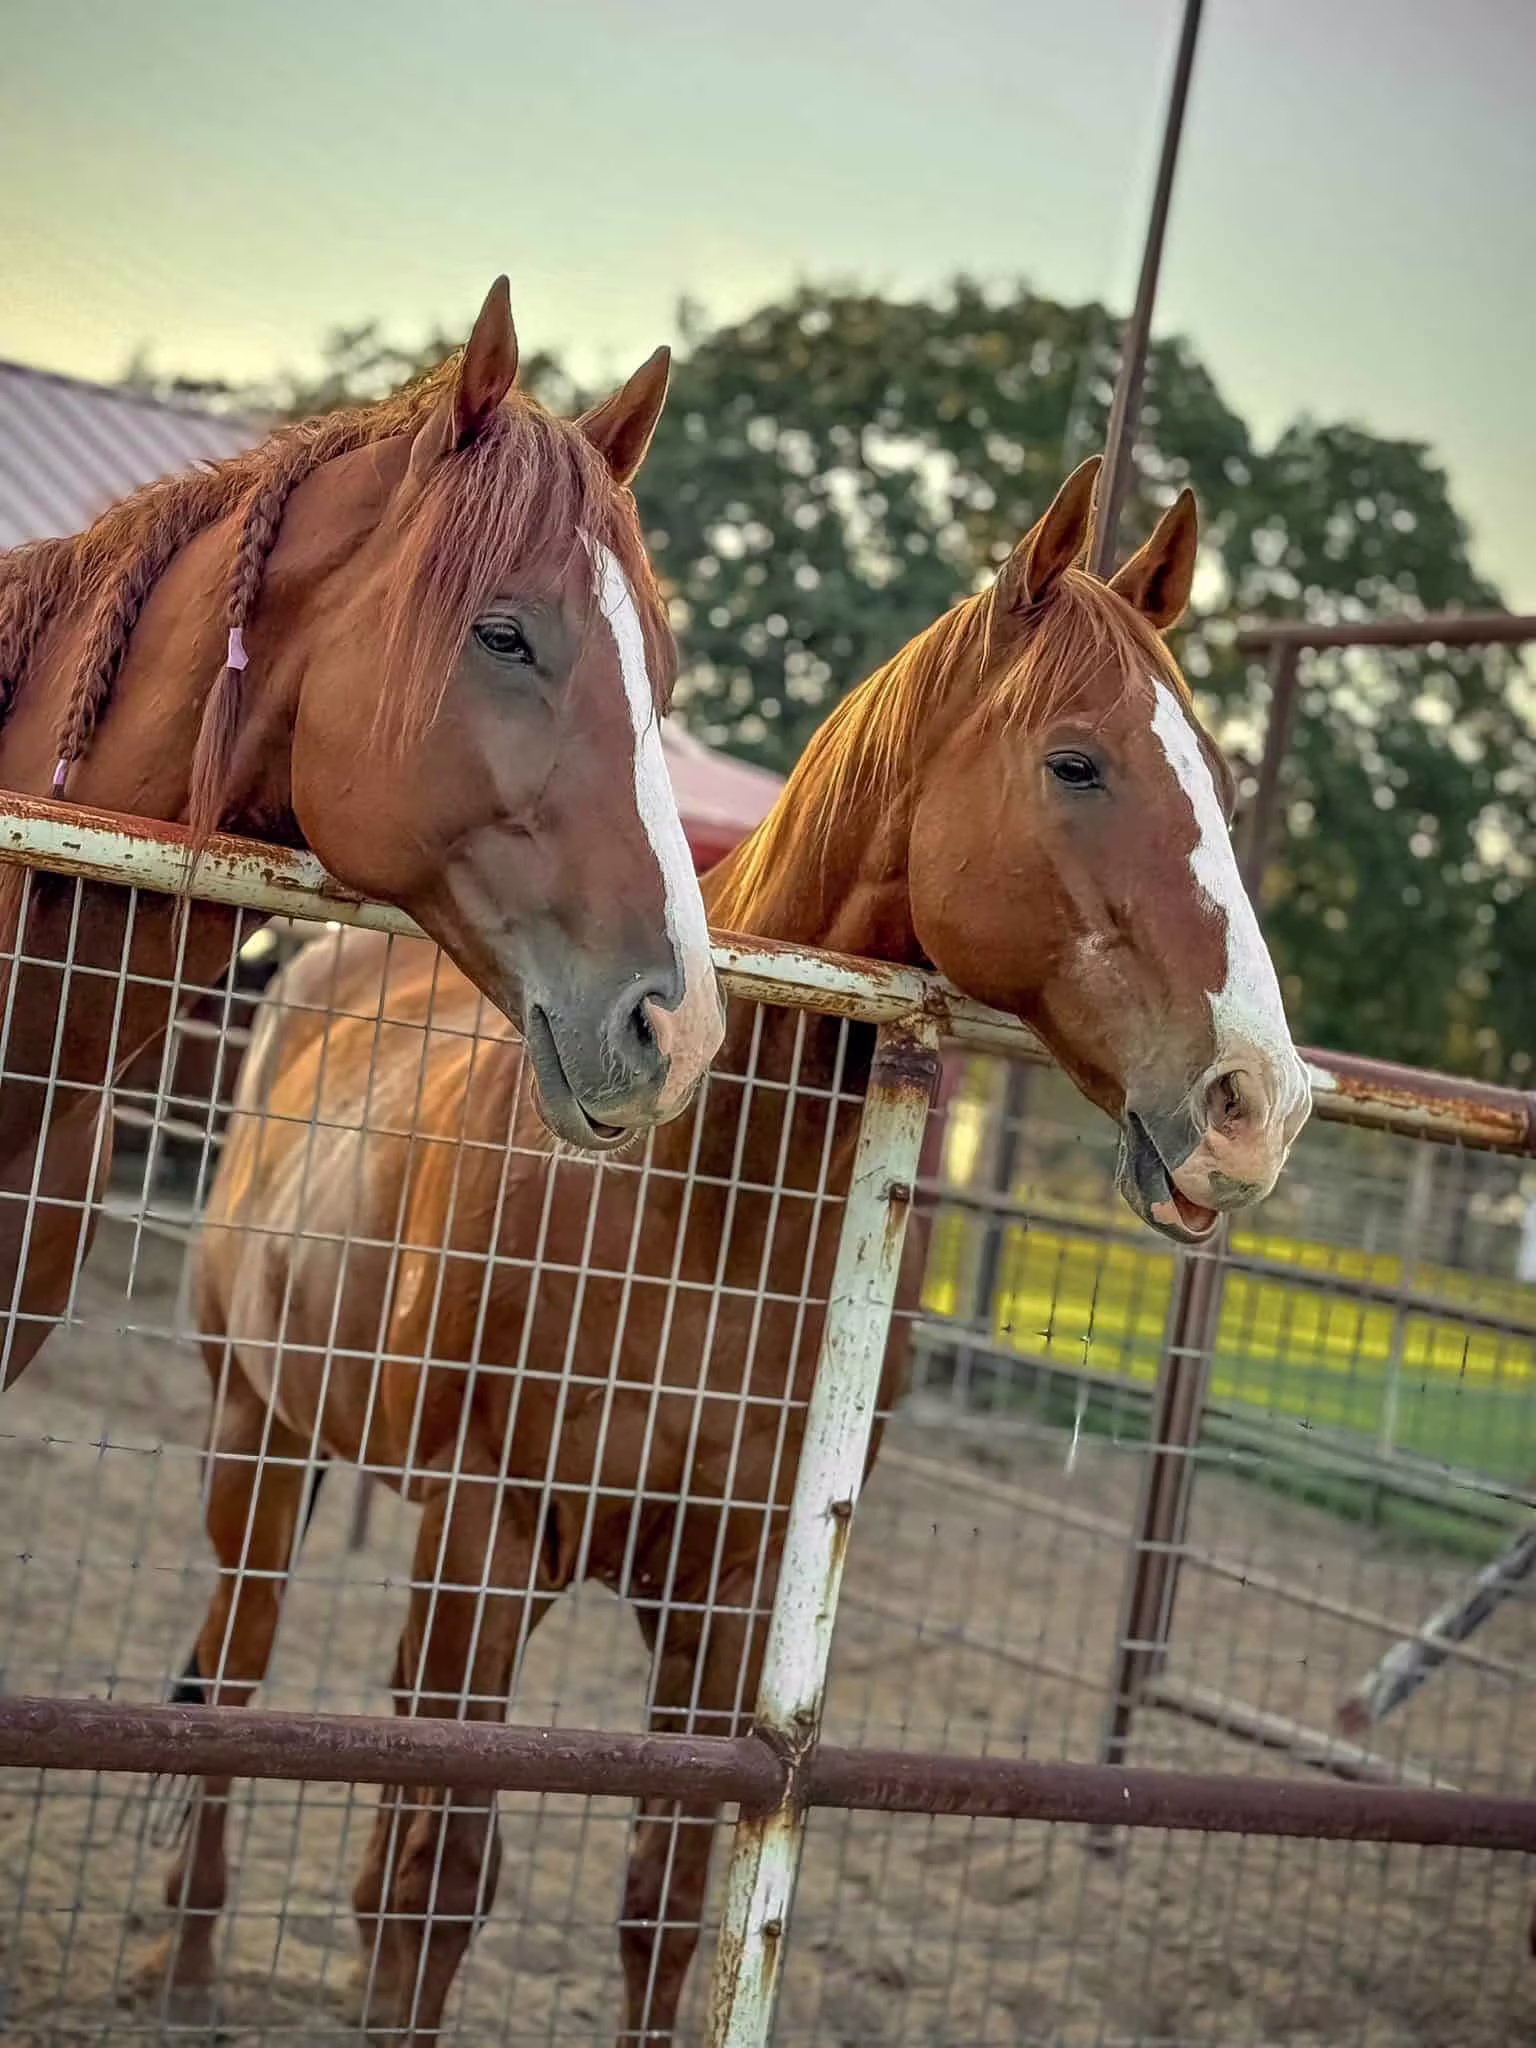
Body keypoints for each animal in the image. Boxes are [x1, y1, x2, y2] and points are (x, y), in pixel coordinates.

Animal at [153, 458, 1313, 2040]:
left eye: (1218, 781)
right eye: (1078, 764)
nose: (1261, 1102)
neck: (696, 1213)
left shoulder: (729, 1588)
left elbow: (663, 1897)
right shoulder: (486, 1541)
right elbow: (439, 1878)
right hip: (257, 1438)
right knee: (237, 1674)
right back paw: (188, 1951)